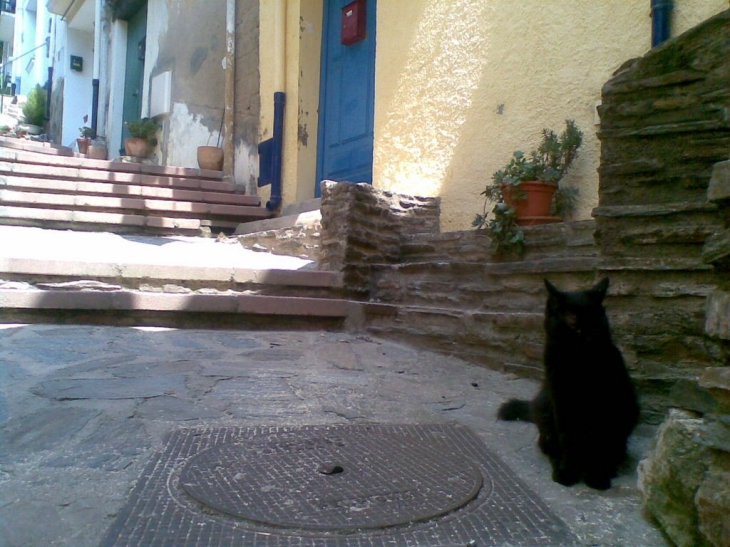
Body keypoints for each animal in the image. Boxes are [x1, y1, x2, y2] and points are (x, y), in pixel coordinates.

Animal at [494, 280, 636, 490]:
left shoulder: (605, 405)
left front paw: (597, 476)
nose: (589, 337)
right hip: (545, 406)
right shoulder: (561, 402)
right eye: (573, 322)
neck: (578, 365)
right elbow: (568, 438)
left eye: (596, 322)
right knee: (548, 443)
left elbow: (599, 442)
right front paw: (567, 472)